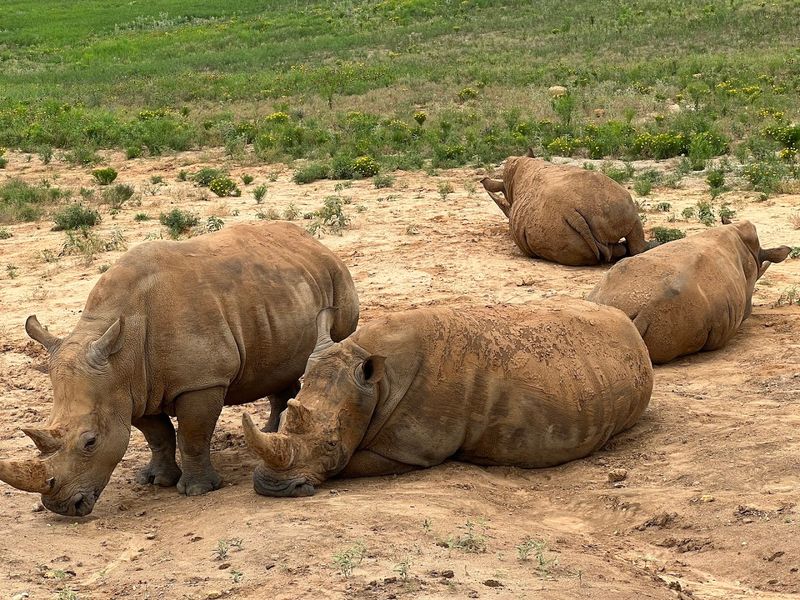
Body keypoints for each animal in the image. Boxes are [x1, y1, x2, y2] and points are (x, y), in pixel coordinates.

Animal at [0, 222, 359, 515]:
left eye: (90, 442)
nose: (61, 507)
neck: (120, 356)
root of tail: (314, 241)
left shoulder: (201, 382)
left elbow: (192, 434)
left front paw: (197, 490)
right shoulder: (133, 388)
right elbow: (157, 435)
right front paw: (155, 481)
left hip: (337, 279)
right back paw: (270, 433)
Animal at [241, 301, 653, 497]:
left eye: (330, 444)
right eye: (282, 422)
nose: (271, 487)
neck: (374, 382)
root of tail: (630, 325)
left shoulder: (407, 450)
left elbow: (348, 463)